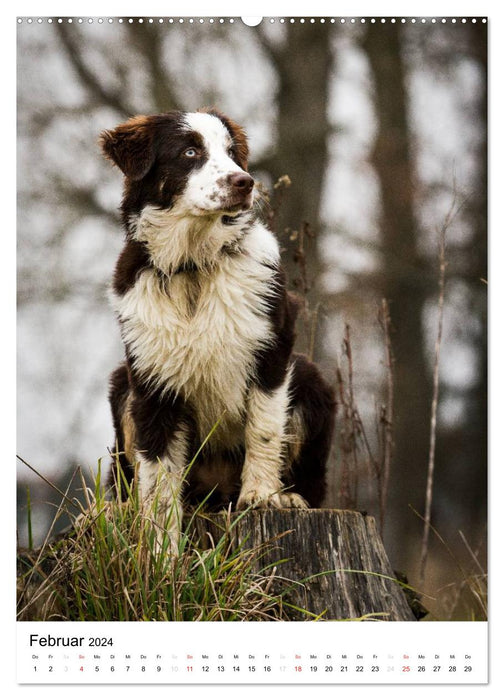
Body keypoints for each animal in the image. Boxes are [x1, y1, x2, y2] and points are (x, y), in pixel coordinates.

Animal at [99, 108, 334, 548]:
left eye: (230, 153)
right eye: (190, 152)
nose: (245, 182)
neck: (193, 264)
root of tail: (213, 494)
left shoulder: (273, 349)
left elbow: (264, 428)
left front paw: (261, 497)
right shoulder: (151, 377)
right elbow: (157, 473)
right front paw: (160, 549)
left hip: (311, 379)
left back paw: (290, 496)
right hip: (122, 385)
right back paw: (116, 509)